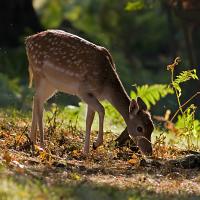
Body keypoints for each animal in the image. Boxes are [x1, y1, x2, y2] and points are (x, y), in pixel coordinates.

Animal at [24, 29, 153, 155]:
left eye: (152, 128)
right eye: (139, 128)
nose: (149, 152)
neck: (105, 86)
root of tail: (28, 40)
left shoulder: (92, 96)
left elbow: (89, 121)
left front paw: (85, 152)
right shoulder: (83, 91)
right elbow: (102, 109)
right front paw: (96, 144)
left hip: (51, 85)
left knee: (36, 99)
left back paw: (31, 141)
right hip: (40, 73)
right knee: (39, 104)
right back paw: (42, 145)